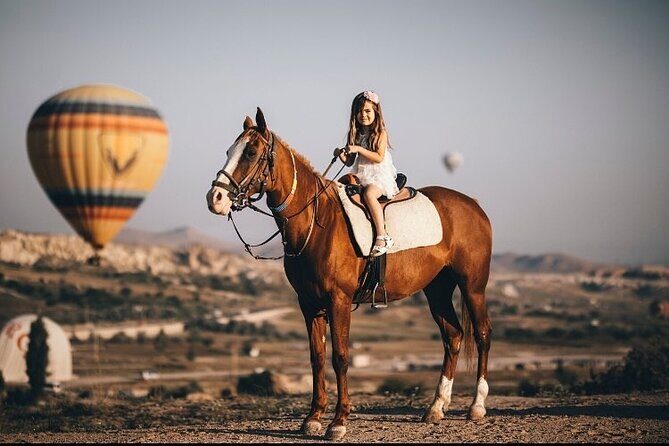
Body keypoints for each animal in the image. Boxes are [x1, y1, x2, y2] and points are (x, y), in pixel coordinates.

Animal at [206, 108, 493, 440]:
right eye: (229, 151)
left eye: (251, 152)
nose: (215, 198)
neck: (317, 221)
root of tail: (473, 205)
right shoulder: (309, 304)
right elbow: (317, 358)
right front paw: (313, 418)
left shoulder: (338, 301)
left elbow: (340, 357)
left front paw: (338, 421)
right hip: (437, 289)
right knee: (453, 336)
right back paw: (436, 408)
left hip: (472, 286)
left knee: (482, 335)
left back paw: (476, 406)